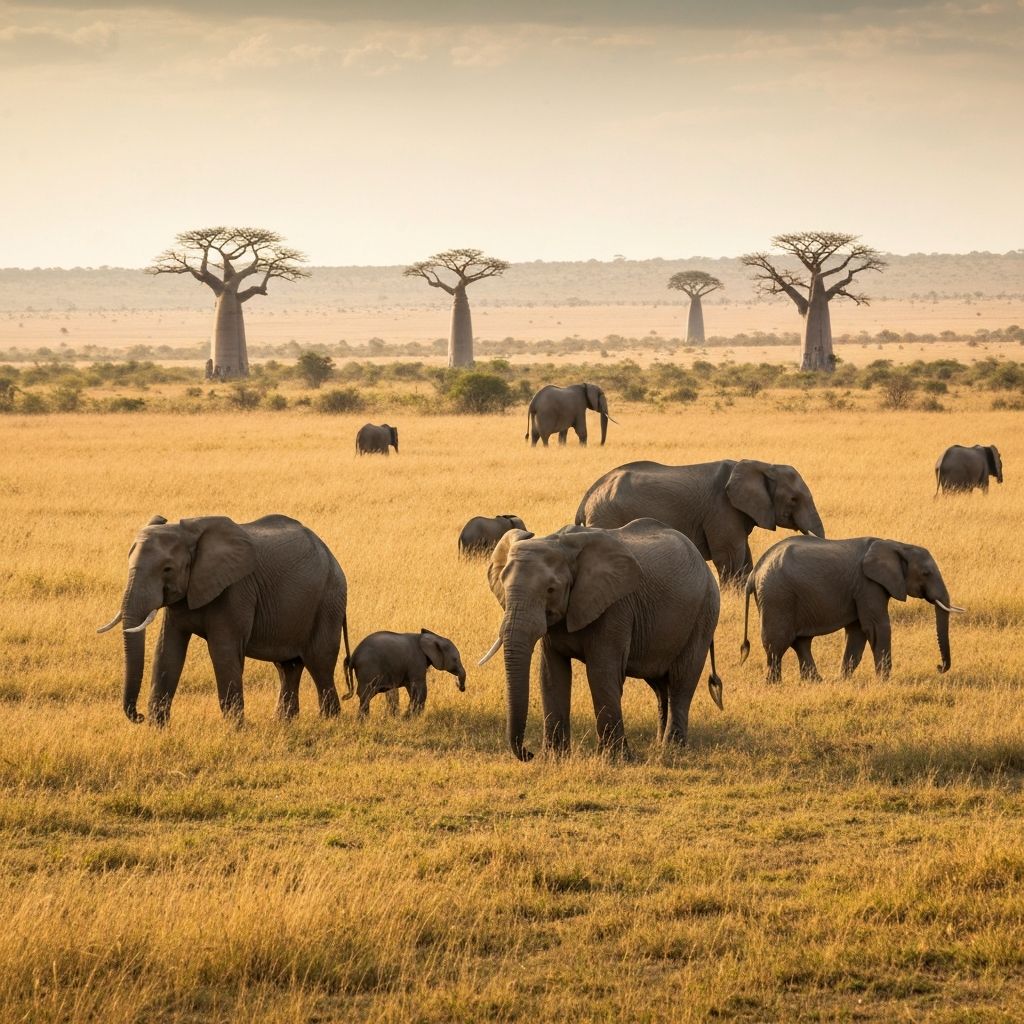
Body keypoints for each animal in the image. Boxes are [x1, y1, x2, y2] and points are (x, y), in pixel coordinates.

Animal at [96, 514, 351, 725]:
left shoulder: (235, 590)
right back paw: (284, 722)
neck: (189, 534)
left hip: (328, 600)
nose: (138, 716)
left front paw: (234, 730)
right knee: (288, 666)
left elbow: (223, 651)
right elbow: (167, 650)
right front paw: (158, 728)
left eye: (167, 569)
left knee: (319, 662)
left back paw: (328, 722)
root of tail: (331, 555)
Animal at [479, 518, 723, 761]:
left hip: (705, 612)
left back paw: (671, 749)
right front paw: (555, 758)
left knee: (682, 680)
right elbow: (552, 673)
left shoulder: (615, 606)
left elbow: (601, 672)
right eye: (503, 585)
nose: (529, 753)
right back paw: (658, 745)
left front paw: (615, 759)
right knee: (660, 685)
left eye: (551, 589)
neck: (560, 543)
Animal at [576, 459, 825, 586]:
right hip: (607, 516)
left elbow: (744, 556)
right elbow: (730, 556)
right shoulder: (721, 509)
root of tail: (587, 496)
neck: (764, 465)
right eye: (793, 499)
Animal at [740, 535, 964, 683]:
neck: (897, 544)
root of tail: (754, 573)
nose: (939, 667)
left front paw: (843, 680)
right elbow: (877, 627)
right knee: (777, 644)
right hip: (777, 597)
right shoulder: (868, 585)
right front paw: (885, 682)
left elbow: (857, 633)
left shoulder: (862, 588)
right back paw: (775, 684)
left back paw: (816, 682)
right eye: (926, 573)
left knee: (800, 642)